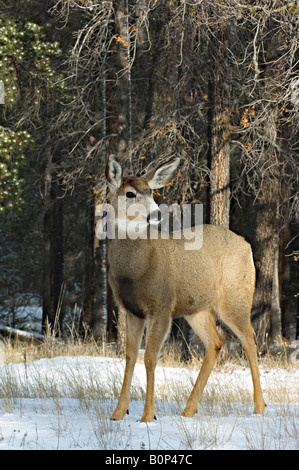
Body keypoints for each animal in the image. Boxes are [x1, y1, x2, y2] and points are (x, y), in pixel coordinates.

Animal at [104, 154, 266, 422]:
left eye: (151, 191)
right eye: (130, 193)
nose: (155, 214)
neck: (134, 272)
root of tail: (246, 245)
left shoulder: (162, 305)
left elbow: (150, 357)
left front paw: (148, 416)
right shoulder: (131, 310)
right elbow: (129, 357)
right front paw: (118, 412)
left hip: (236, 297)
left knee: (249, 339)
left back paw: (259, 407)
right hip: (196, 309)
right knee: (215, 342)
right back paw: (189, 409)